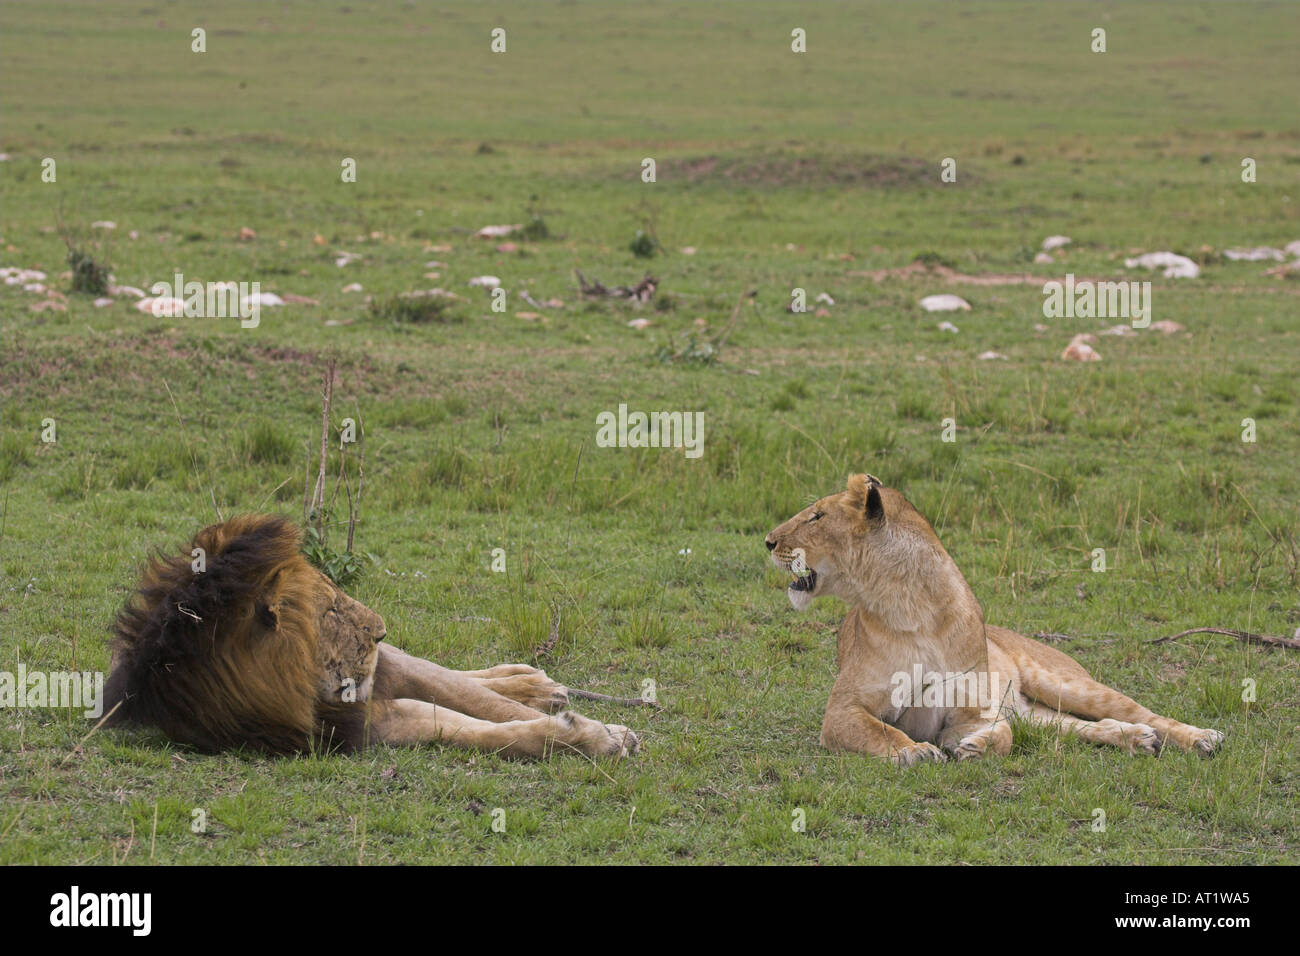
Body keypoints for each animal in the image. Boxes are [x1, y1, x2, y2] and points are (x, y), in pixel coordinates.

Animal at [101, 514, 640, 759]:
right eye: (331, 609)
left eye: (335, 594)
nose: (381, 631)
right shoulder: (365, 727)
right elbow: (484, 729)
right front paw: (590, 735)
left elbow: (491, 707)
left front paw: (606, 730)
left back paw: (533, 682)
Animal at [765, 473, 1224, 766]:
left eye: (817, 516)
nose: (768, 541)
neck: (909, 604)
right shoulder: (844, 709)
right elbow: (880, 731)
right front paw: (914, 751)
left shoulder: (970, 711)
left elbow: (1001, 734)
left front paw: (976, 748)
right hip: (1038, 713)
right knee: (1077, 726)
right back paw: (1135, 741)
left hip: (1066, 683)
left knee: (1142, 713)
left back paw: (1201, 738)